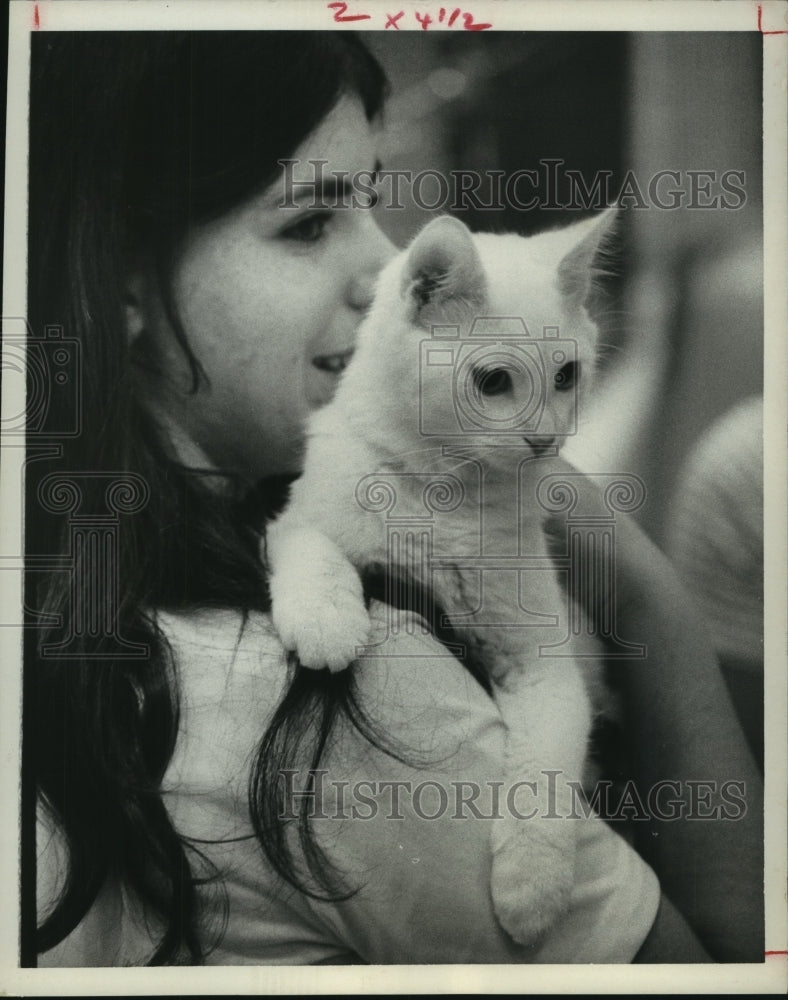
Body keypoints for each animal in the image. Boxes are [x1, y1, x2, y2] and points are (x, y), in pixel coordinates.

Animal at [264, 211, 616, 944]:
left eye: (568, 374)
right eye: (493, 382)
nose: (545, 441)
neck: (442, 490)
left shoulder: (543, 662)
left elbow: (545, 774)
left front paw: (532, 888)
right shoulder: (298, 518)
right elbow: (314, 549)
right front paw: (328, 620)